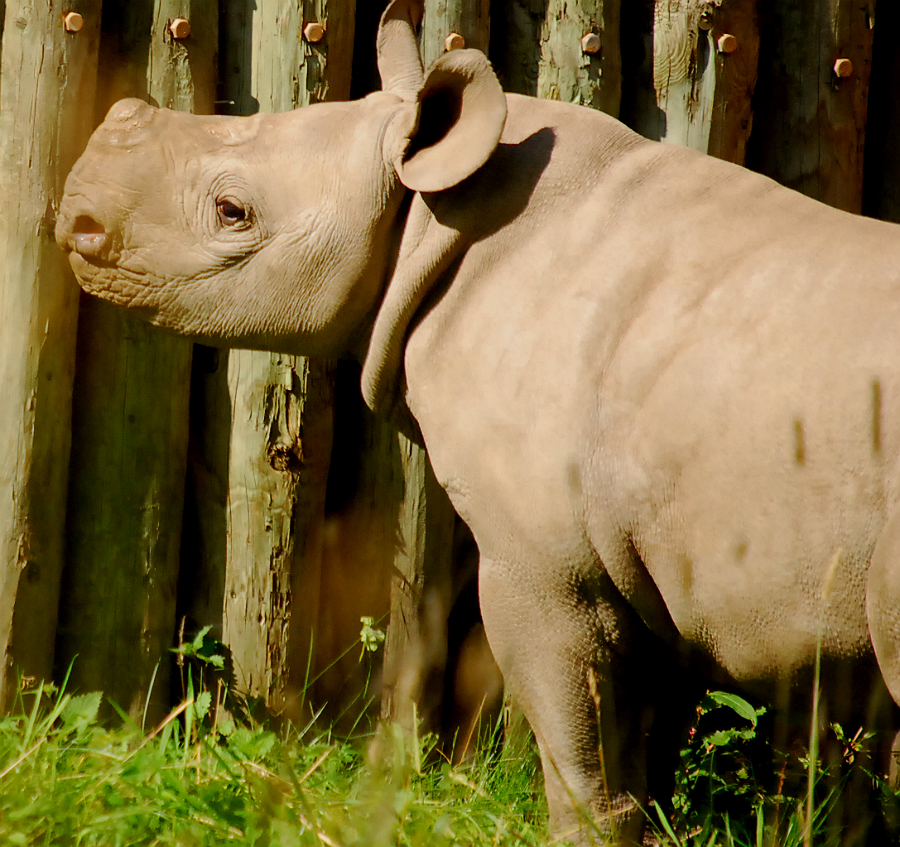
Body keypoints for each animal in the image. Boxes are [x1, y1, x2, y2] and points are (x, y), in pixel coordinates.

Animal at [55, 0, 900, 842]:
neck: (431, 219)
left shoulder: (550, 564)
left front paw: (586, 831)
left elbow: (579, 744)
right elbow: (647, 741)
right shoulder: (661, 560)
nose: (73, 214)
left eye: (232, 212)